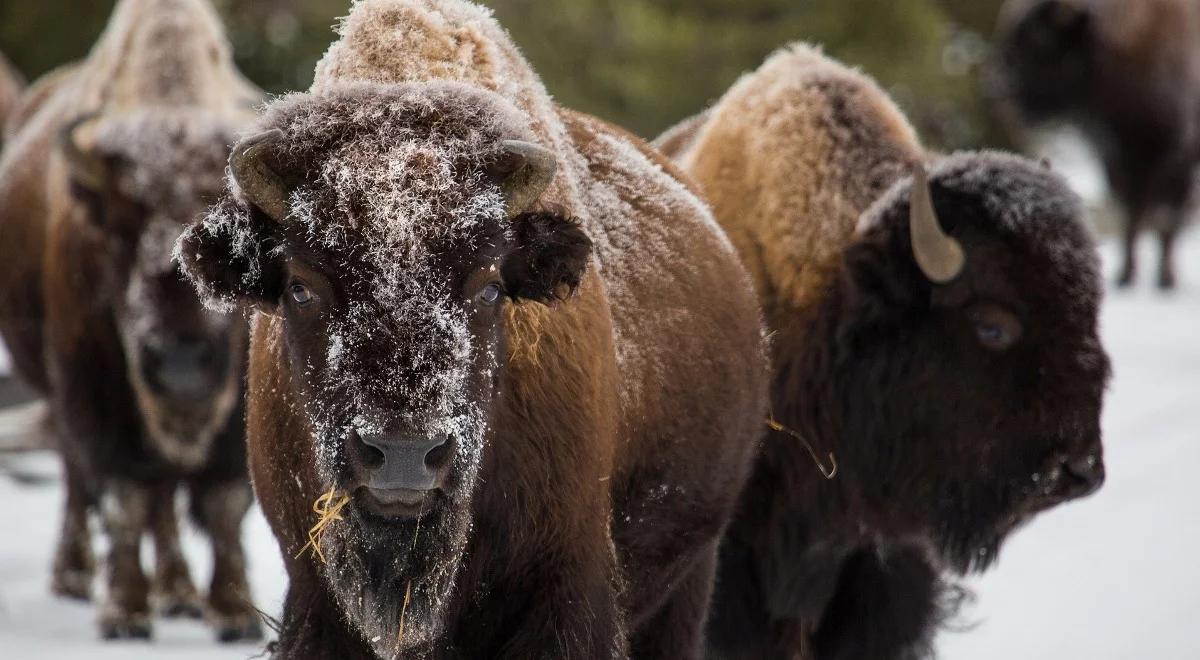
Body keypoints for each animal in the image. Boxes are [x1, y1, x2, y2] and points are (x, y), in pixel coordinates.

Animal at [0, 0, 262, 643]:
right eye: (118, 228)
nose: (182, 366)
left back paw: (178, 593)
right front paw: (123, 613)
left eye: (237, 231)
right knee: (83, 478)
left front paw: (236, 613)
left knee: (164, 499)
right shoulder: (94, 390)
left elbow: (223, 502)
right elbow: (123, 498)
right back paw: (75, 577)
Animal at [174, 1, 763, 660]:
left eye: (488, 287)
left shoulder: (566, 586)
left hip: (689, 578)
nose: (404, 458)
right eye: (300, 286)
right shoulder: (315, 602)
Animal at [993, 0, 1200, 290]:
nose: (1002, 91)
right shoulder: (1119, 157)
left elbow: (1166, 218)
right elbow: (1130, 210)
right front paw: (1125, 275)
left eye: (1041, 42)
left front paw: (1165, 279)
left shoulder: (1175, 151)